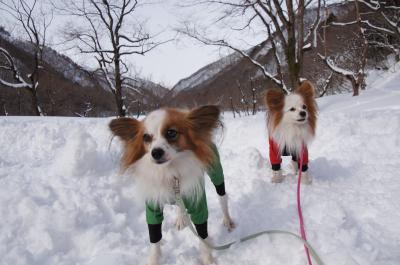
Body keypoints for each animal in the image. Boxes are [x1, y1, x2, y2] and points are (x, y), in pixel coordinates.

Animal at [109, 105, 234, 264]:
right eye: (146, 137)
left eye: (171, 133)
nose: (156, 152)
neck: (169, 172)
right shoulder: (153, 207)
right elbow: (154, 240)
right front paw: (153, 260)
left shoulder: (198, 204)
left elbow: (203, 236)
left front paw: (208, 260)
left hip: (216, 174)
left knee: (223, 198)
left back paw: (227, 220)